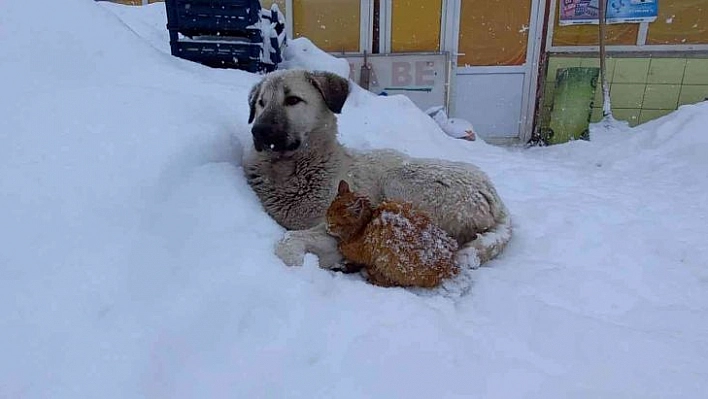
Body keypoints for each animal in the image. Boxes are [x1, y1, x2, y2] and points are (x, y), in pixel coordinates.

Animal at [243, 69, 508, 272]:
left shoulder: (334, 226)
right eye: (261, 103)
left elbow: (289, 239)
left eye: (293, 100)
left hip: (399, 179)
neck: (293, 169)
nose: (258, 131)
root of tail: (496, 197)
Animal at [326, 180, 460, 288]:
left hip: (389, 258)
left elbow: (345, 248)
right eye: (327, 215)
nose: (327, 227)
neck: (365, 225)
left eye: (333, 224)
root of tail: (449, 266)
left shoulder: (362, 250)